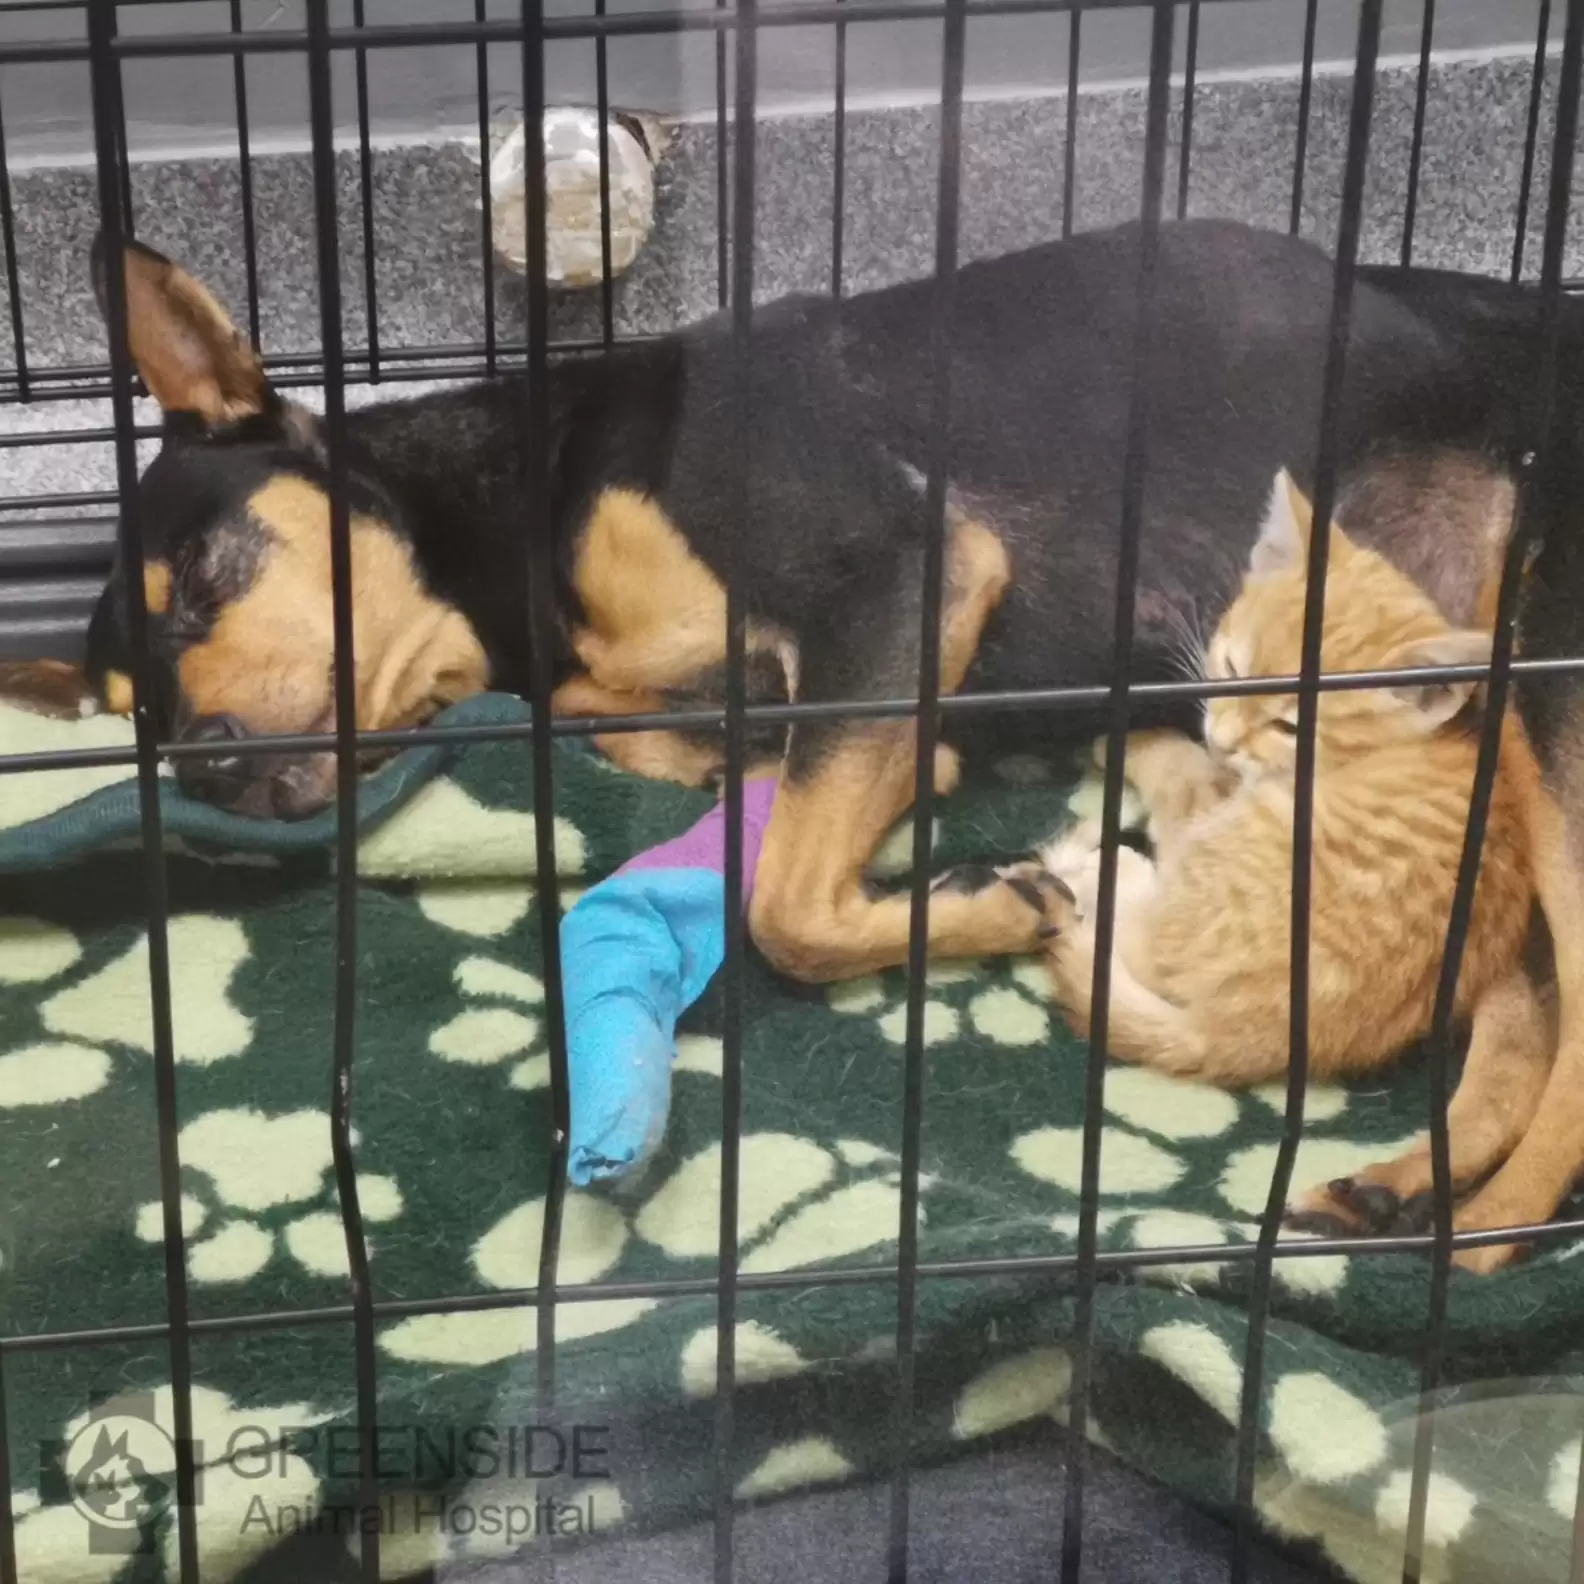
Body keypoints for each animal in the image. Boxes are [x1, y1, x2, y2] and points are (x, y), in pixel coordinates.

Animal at [1039, 468, 1533, 1089]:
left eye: (1288, 724)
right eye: (1233, 670)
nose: (1223, 737)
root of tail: (1249, 1043)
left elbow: (1184, 780)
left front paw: (1139, 744)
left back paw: (1096, 871)